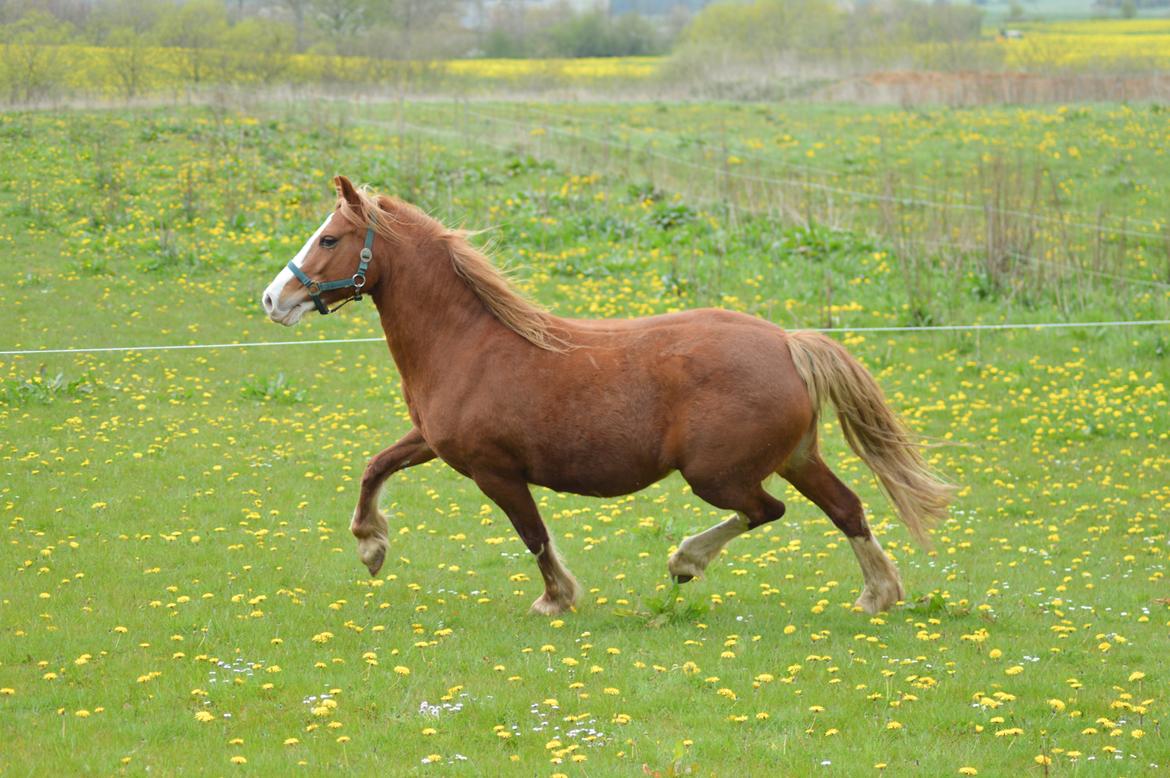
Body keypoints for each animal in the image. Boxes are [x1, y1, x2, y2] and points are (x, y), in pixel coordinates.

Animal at [263, 175, 950, 613]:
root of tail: (788, 342)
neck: (468, 343)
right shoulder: (432, 442)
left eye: (329, 239)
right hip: (796, 457)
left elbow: (533, 534)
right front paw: (371, 546)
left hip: (718, 474)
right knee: (847, 509)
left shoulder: (494, 470)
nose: (273, 299)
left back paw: (686, 561)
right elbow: (375, 466)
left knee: (767, 511)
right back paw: (878, 594)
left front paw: (555, 598)